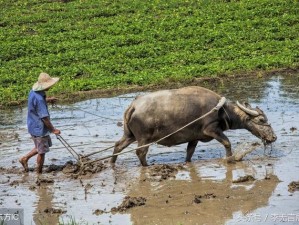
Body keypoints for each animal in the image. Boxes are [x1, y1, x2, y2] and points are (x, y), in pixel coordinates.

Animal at [111, 87, 278, 166]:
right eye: (261, 120)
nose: (274, 137)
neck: (221, 110)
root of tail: (133, 106)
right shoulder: (211, 129)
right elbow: (227, 142)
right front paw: (230, 158)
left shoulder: (194, 137)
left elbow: (190, 152)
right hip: (144, 138)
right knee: (141, 152)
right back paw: (147, 166)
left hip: (129, 135)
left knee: (118, 145)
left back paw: (112, 163)